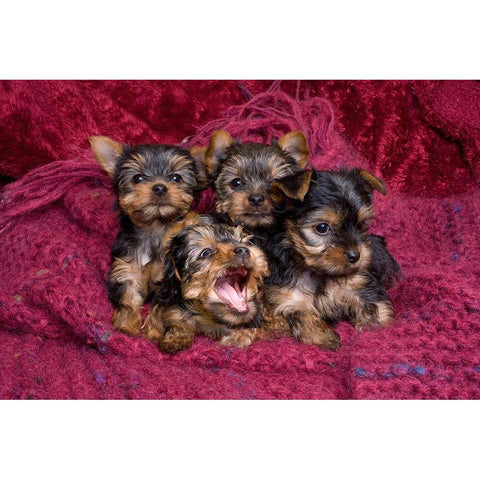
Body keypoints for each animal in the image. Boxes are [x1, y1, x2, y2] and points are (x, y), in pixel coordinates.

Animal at [89, 135, 200, 338]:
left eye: (176, 177)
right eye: (137, 178)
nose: (160, 187)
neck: (155, 227)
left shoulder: (169, 278)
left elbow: (159, 306)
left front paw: (153, 331)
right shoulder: (127, 267)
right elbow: (127, 296)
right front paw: (126, 324)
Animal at [266, 168, 402, 348]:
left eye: (360, 225)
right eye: (322, 227)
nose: (355, 255)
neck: (319, 272)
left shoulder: (359, 282)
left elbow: (374, 304)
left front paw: (375, 326)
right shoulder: (287, 297)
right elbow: (301, 315)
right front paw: (325, 337)